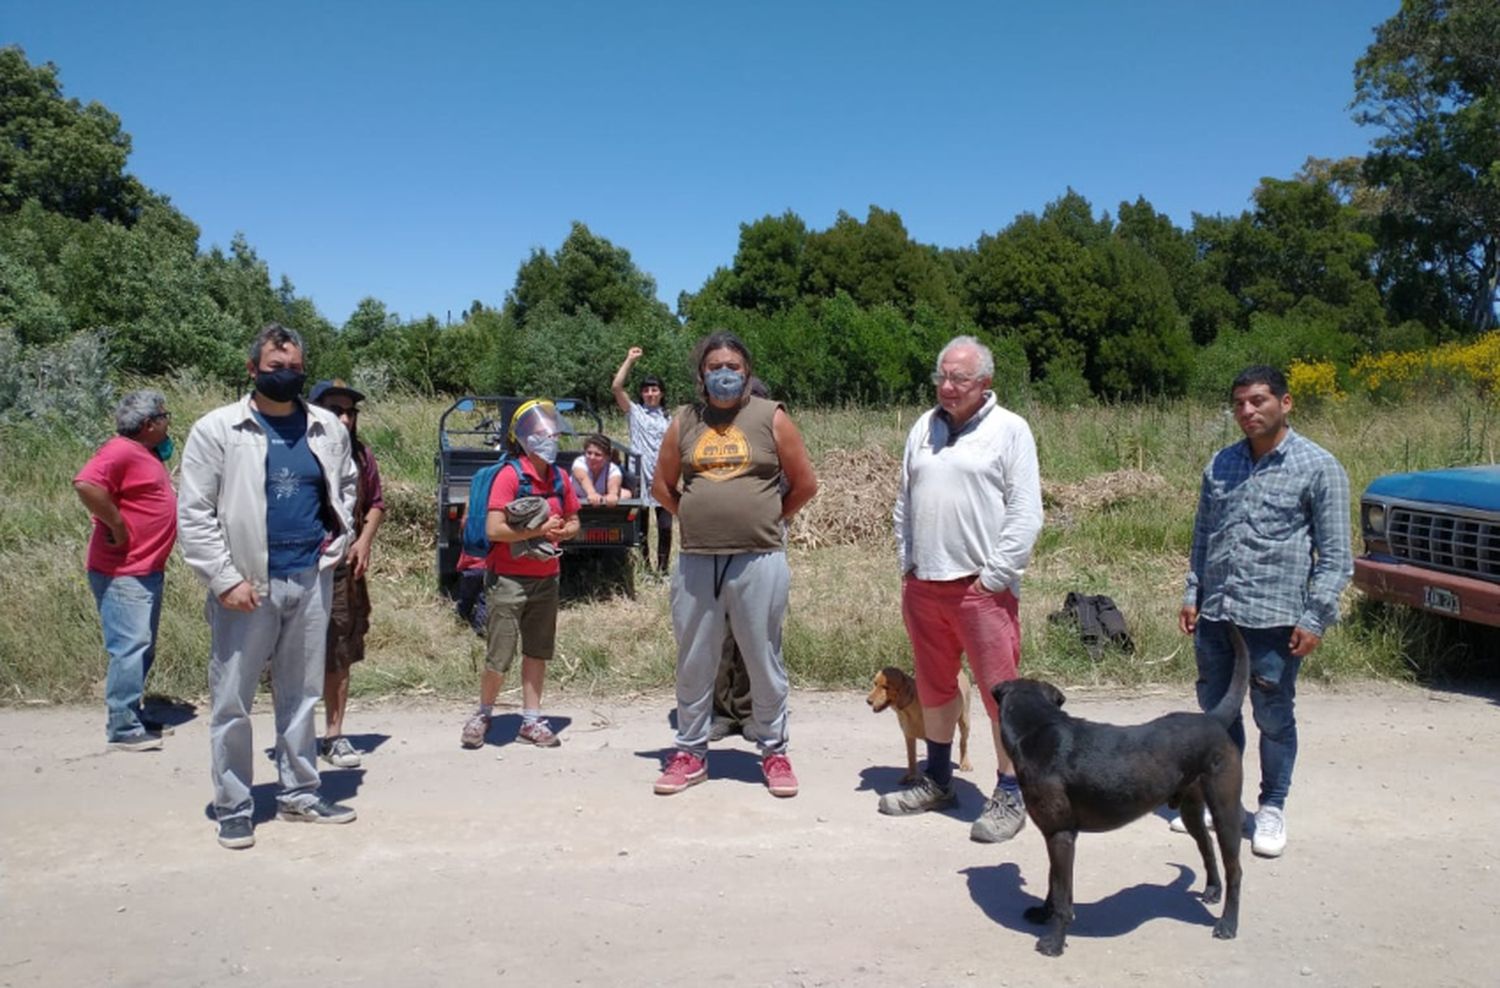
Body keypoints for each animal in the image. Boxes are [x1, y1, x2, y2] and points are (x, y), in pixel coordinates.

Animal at [990, 626, 1248, 959]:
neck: (1036, 729)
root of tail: (1213, 718)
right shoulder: (1054, 835)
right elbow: (1052, 881)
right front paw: (1043, 912)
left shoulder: (1061, 835)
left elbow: (1062, 897)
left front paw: (1054, 941)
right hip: (1192, 807)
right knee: (1207, 847)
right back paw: (1213, 890)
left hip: (1225, 806)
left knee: (1235, 869)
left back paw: (1228, 923)